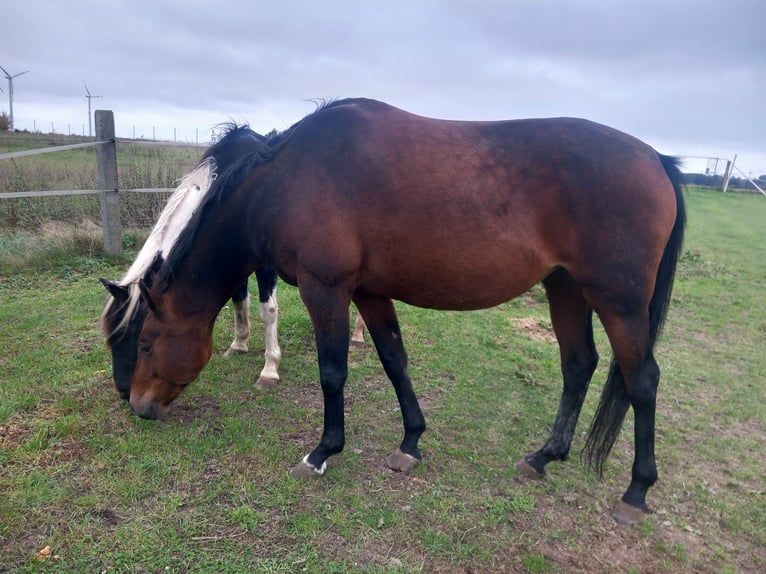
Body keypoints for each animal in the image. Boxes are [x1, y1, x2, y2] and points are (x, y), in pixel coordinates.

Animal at [118, 98, 685, 524]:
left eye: (144, 343)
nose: (139, 406)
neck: (289, 180)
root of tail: (656, 159)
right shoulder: (369, 292)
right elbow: (394, 361)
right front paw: (411, 442)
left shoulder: (327, 290)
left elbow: (333, 371)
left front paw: (322, 453)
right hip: (565, 287)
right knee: (578, 364)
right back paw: (544, 457)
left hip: (619, 302)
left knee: (643, 381)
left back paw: (636, 492)